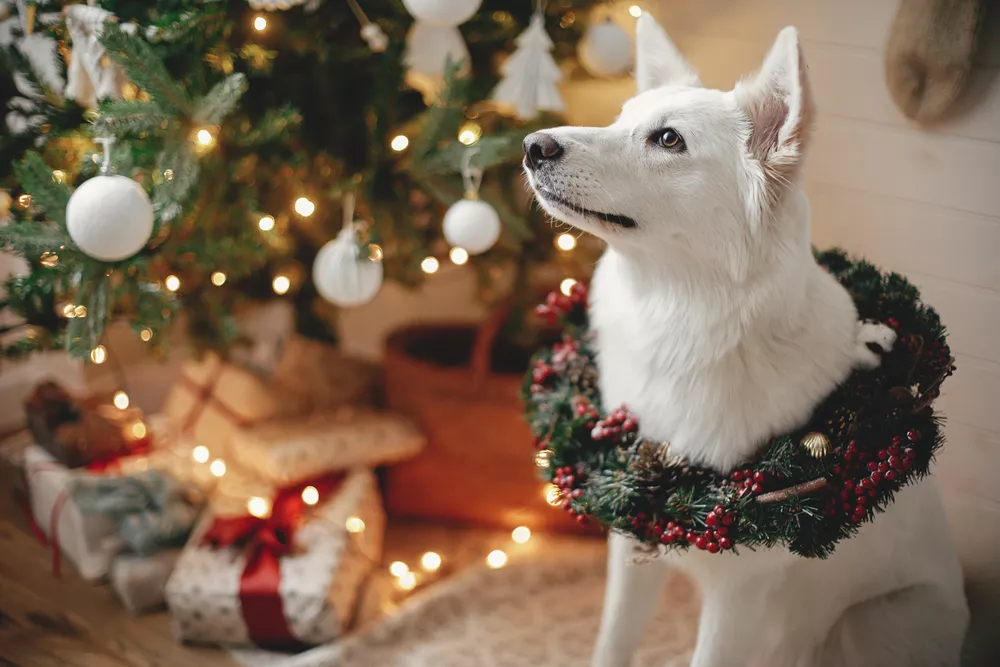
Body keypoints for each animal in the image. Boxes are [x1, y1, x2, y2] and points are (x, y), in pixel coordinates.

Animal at [528, 14, 964, 667]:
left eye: (668, 140)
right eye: (619, 117)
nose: (532, 146)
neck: (680, 317)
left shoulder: (739, 600)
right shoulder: (630, 539)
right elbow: (612, 643)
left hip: (866, 626)